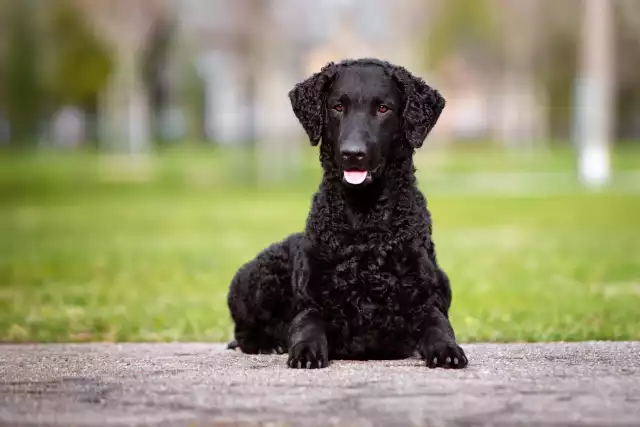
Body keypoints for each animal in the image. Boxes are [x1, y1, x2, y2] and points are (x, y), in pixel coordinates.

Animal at [228, 57, 468, 372]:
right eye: (338, 106)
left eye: (383, 108)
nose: (353, 153)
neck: (366, 224)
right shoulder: (312, 304)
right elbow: (307, 326)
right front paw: (305, 351)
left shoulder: (424, 302)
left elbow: (439, 326)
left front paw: (447, 349)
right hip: (257, 277)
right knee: (242, 333)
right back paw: (268, 344)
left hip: (444, 281)